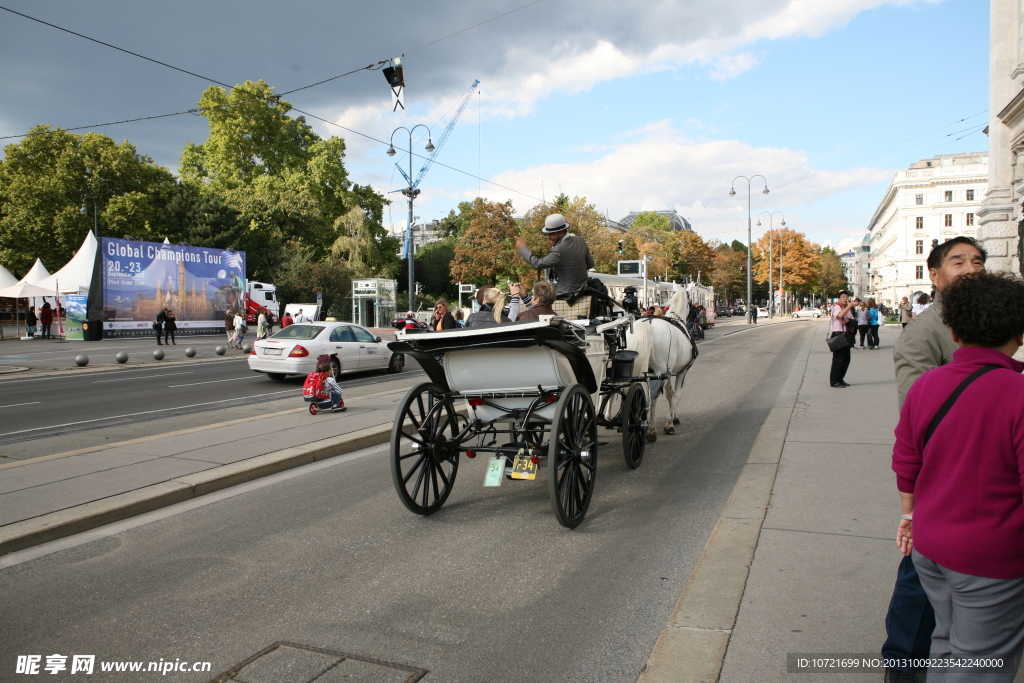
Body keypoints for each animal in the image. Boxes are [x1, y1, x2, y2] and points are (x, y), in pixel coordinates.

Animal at [622, 288, 696, 444]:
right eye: (691, 301)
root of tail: (648, 323)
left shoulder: (667, 373)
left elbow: (669, 394)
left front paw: (674, 417)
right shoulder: (682, 371)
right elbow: (677, 395)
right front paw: (670, 422)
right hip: (658, 372)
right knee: (652, 398)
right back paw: (651, 429)